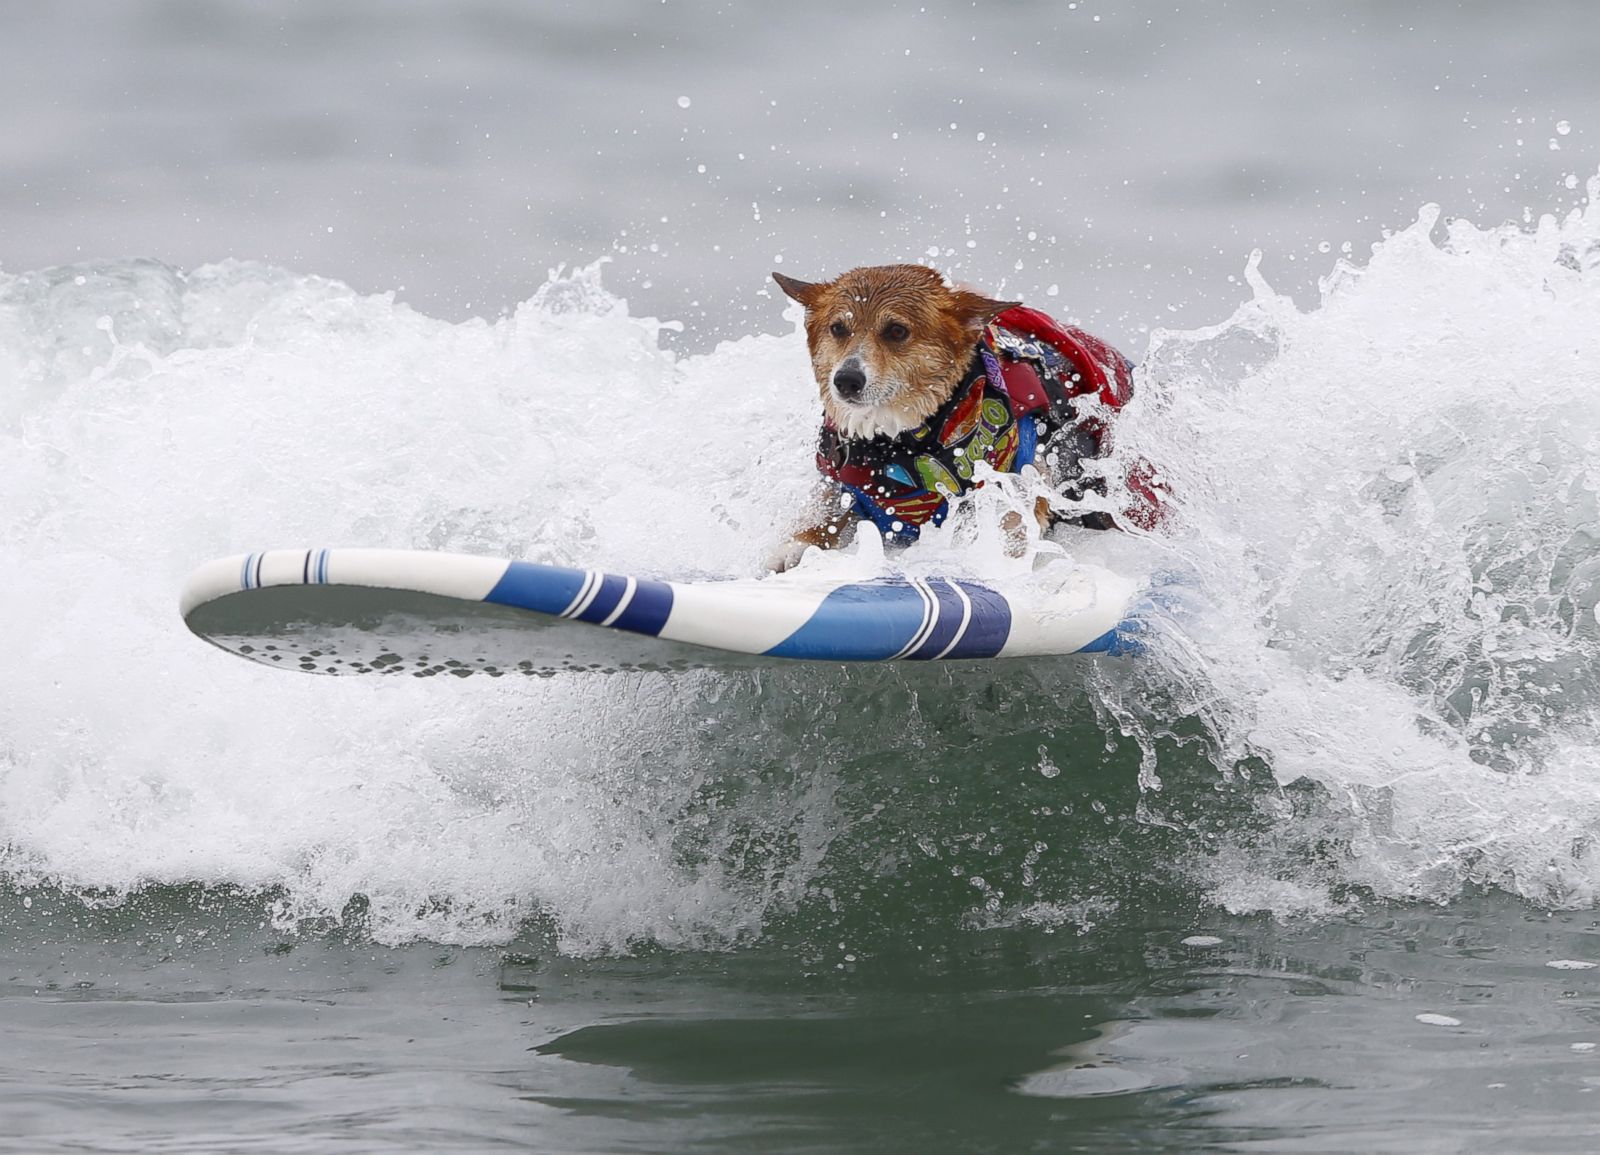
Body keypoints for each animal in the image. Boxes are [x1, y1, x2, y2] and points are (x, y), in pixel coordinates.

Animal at [768, 259, 1145, 566]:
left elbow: (1009, 526)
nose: (846, 380)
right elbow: (817, 521)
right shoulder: (839, 491)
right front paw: (791, 549)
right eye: (838, 328)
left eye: (897, 331)